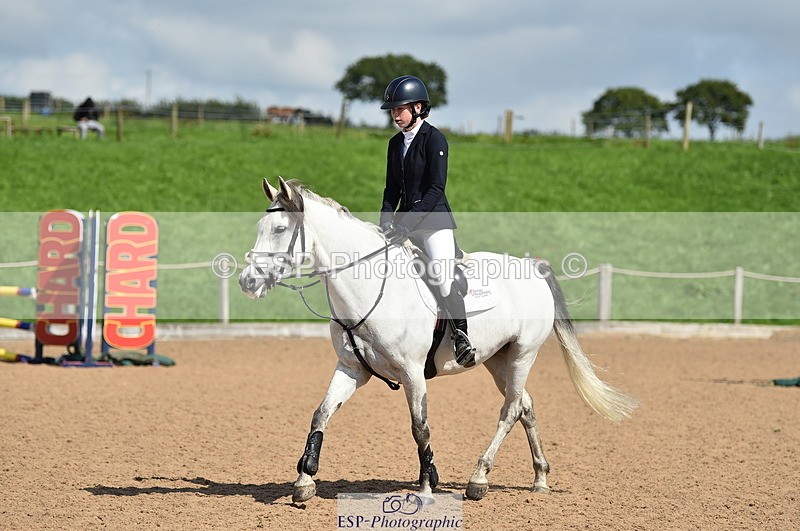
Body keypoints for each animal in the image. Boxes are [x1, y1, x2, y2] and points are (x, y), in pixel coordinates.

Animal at [239, 177, 638, 503]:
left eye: (279, 229)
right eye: (260, 227)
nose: (247, 281)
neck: (369, 289)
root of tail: (533, 267)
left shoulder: (412, 372)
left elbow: (420, 427)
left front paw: (428, 483)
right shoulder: (352, 368)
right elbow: (321, 414)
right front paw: (305, 478)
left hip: (524, 353)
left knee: (510, 410)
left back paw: (478, 479)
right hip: (498, 360)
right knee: (525, 405)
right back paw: (539, 477)